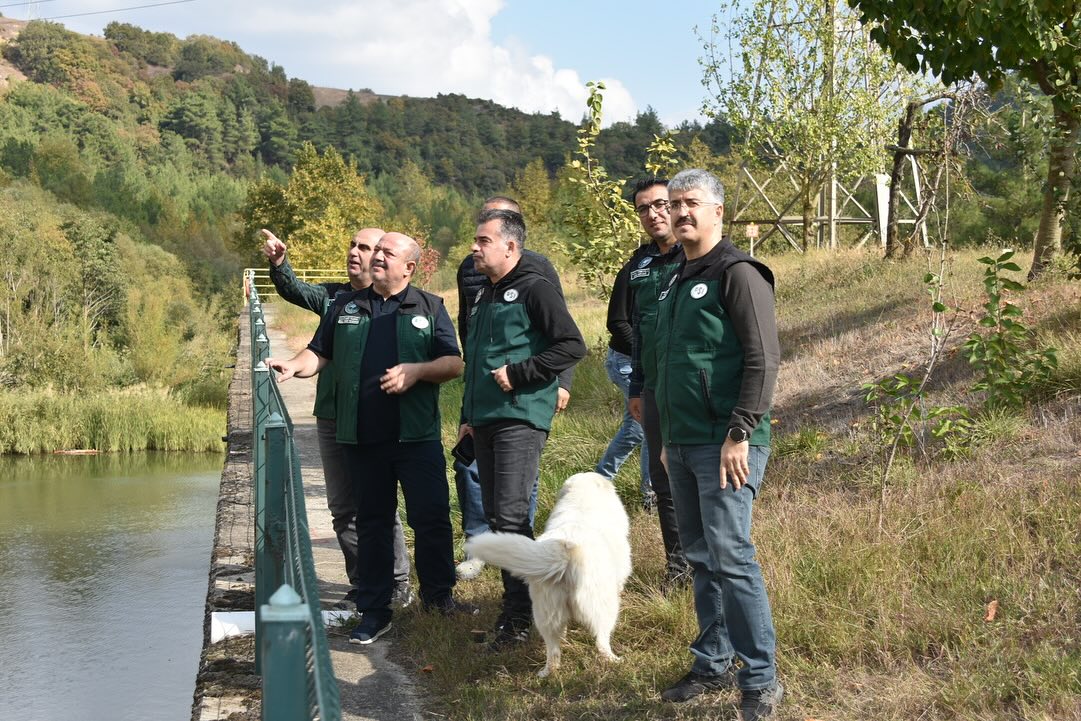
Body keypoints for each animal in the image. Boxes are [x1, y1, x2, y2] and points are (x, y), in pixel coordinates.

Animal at [464, 471, 631, 678]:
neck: (581, 499)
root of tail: (565, 551)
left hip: (545, 614)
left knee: (553, 652)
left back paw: (546, 672)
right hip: (603, 607)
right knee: (601, 642)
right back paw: (614, 660)